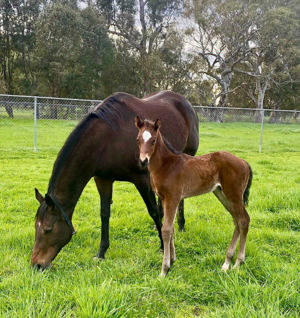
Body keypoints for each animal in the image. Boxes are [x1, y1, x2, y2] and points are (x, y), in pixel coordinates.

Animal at [31, 90, 199, 270]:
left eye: (48, 229)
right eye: (35, 226)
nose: (36, 265)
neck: (107, 139)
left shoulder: (141, 178)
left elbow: (152, 210)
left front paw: (162, 246)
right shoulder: (103, 179)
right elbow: (104, 213)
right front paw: (101, 252)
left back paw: (180, 225)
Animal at [135, 117, 252, 276]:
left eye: (153, 140)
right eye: (138, 139)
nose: (143, 161)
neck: (166, 165)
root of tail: (244, 162)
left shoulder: (172, 198)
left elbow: (166, 230)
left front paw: (164, 270)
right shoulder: (165, 199)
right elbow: (171, 229)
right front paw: (172, 260)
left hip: (234, 194)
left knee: (244, 219)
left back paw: (238, 262)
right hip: (221, 193)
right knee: (237, 220)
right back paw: (227, 262)